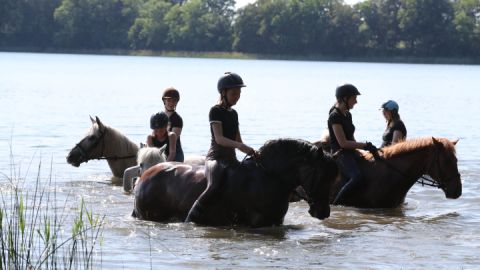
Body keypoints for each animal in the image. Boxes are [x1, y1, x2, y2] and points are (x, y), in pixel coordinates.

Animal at [133, 139, 340, 228]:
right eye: (322, 177)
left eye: (333, 178)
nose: (323, 212)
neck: (269, 178)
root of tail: (144, 177)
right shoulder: (258, 223)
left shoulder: (276, 221)